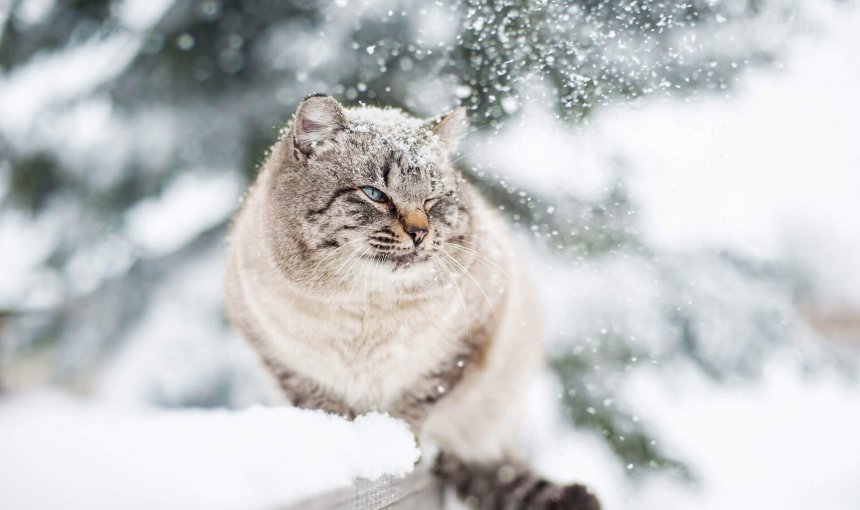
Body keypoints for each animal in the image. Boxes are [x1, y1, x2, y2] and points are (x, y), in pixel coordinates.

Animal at [223, 92, 596, 510]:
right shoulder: (275, 355)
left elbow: (416, 404)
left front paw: (397, 445)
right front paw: (353, 445)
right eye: (375, 195)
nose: (420, 232)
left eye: (433, 200)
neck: (365, 305)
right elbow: (323, 406)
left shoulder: (468, 339)